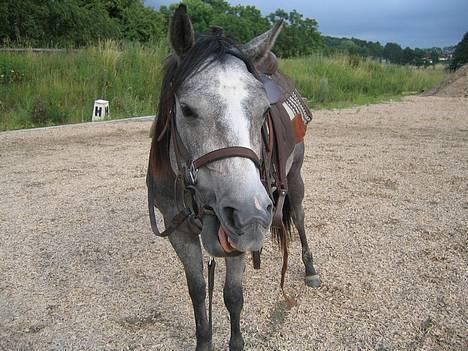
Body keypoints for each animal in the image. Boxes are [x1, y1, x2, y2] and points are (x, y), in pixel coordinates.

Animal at [148, 4, 320, 350]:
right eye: (186, 109)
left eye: (264, 110)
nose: (250, 213)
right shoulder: (178, 229)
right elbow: (198, 290)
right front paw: (204, 341)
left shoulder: (238, 235)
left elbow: (232, 296)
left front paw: (236, 341)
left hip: (295, 176)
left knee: (298, 216)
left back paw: (310, 268)